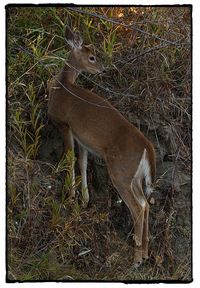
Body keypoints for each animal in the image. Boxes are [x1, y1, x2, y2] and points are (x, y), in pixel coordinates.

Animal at [48, 25, 156, 268]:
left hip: (120, 171)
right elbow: (82, 163)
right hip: (135, 176)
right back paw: (145, 253)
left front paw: (70, 196)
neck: (63, 87)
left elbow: (69, 158)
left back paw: (136, 260)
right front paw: (84, 199)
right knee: (145, 203)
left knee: (138, 207)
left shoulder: (65, 125)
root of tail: (147, 147)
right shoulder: (84, 141)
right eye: (92, 57)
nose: (103, 68)